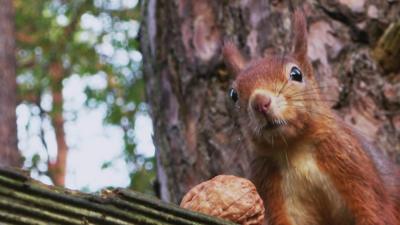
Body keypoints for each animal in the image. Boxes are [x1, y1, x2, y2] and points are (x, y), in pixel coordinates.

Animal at [222, 9, 400, 225]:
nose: (260, 102)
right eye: (233, 94)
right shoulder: (271, 185)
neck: (295, 148)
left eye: (296, 74)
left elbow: (374, 210)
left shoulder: (353, 165)